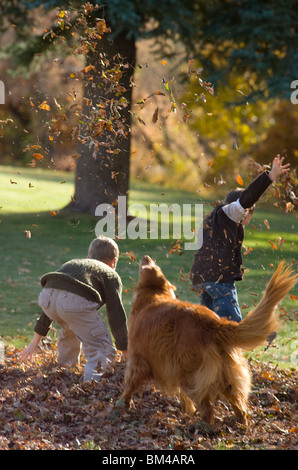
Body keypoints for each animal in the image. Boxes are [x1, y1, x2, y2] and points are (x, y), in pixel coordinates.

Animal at [121, 258, 296, 426]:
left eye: (150, 265)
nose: (146, 257)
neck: (154, 294)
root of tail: (215, 323)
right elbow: (184, 399)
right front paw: (187, 411)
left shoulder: (137, 361)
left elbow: (129, 385)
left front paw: (123, 406)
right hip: (225, 376)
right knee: (238, 406)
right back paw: (241, 425)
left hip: (191, 376)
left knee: (207, 409)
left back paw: (202, 428)